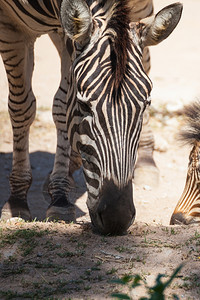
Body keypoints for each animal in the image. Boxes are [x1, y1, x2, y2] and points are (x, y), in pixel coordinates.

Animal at [0, 0, 183, 234]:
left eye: (146, 105)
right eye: (83, 105)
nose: (117, 218)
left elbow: (61, 106)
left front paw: (59, 199)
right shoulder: (11, 26)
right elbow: (22, 107)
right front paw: (17, 201)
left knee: (147, 59)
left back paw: (144, 160)